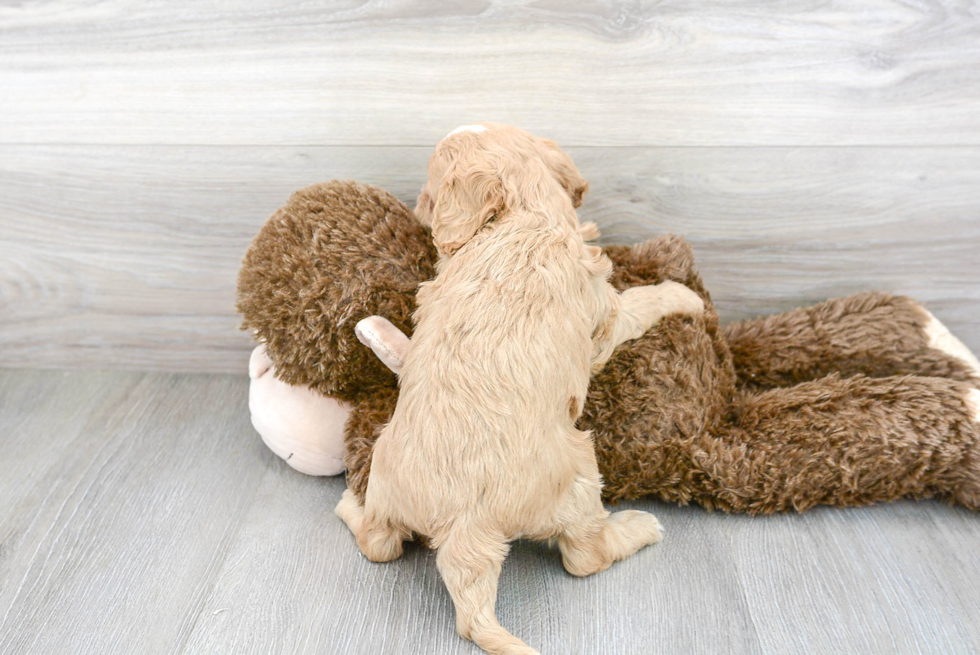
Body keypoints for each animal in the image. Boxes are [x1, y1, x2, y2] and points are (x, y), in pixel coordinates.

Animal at [336, 124, 704, 655]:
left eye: (429, 187)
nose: (416, 205)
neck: (524, 217)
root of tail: (464, 528)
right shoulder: (604, 316)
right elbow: (639, 301)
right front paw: (683, 295)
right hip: (578, 473)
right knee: (584, 557)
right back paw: (636, 528)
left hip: (386, 475)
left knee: (378, 543)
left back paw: (350, 503)